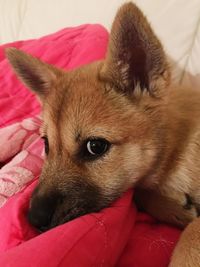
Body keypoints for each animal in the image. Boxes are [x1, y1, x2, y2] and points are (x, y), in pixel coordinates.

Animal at [5, 2, 200, 264]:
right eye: (46, 144)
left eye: (95, 147)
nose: (33, 219)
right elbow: (142, 193)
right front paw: (176, 208)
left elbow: (191, 237)